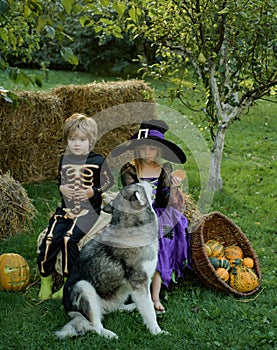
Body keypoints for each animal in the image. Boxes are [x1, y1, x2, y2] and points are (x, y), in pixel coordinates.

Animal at [55, 183, 165, 340]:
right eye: (140, 185)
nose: (149, 182)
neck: (131, 227)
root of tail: (68, 310)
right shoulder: (140, 283)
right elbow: (149, 311)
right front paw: (157, 331)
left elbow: (148, 304)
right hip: (83, 287)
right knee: (95, 326)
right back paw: (109, 333)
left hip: (120, 292)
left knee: (113, 309)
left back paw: (129, 307)